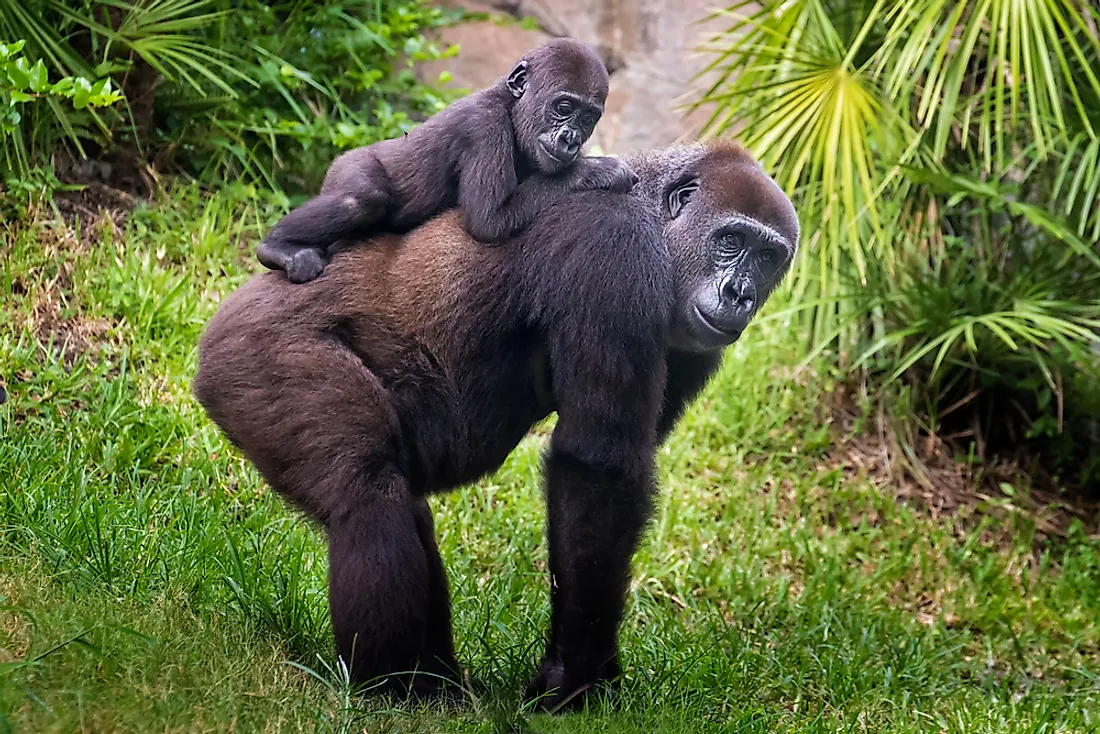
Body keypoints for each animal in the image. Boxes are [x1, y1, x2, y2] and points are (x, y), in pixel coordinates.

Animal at [193, 139, 800, 713]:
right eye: (729, 241)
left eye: (768, 257)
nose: (740, 294)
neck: (656, 214)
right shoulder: (616, 246)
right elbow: (597, 468)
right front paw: (574, 677)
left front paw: (591, 673)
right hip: (251, 355)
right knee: (364, 495)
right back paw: (387, 688)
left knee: (403, 508)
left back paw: (434, 682)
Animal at [255, 36, 638, 283]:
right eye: (563, 107)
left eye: (587, 119)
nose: (571, 139)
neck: (511, 106)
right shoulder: (483, 126)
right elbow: (488, 220)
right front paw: (599, 170)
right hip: (347, 165)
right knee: (360, 199)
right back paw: (276, 248)